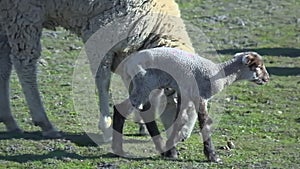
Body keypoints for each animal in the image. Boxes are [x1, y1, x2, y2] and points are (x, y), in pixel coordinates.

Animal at [0, 0, 195, 140]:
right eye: (182, 105)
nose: (183, 138)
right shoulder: (101, 33)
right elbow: (103, 82)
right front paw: (106, 126)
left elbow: (135, 85)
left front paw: (141, 122)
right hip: (23, 12)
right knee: (24, 62)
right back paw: (45, 123)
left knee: (4, 63)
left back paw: (9, 120)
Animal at [112, 46, 270, 162]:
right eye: (259, 66)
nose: (267, 79)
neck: (219, 74)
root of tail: (127, 64)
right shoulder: (200, 97)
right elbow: (204, 124)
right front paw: (212, 156)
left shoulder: (186, 96)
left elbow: (179, 121)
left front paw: (171, 150)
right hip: (143, 85)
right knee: (125, 110)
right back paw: (120, 149)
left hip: (139, 86)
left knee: (136, 111)